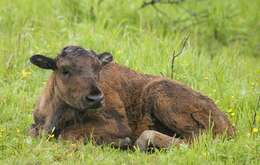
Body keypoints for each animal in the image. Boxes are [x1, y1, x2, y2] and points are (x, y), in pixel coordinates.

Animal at [28, 45, 236, 151]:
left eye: (98, 68)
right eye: (65, 70)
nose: (96, 98)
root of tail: (228, 124)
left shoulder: (117, 125)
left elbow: (67, 134)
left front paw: (122, 142)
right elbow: (33, 131)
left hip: (159, 95)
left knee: (196, 139)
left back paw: (143, 143)